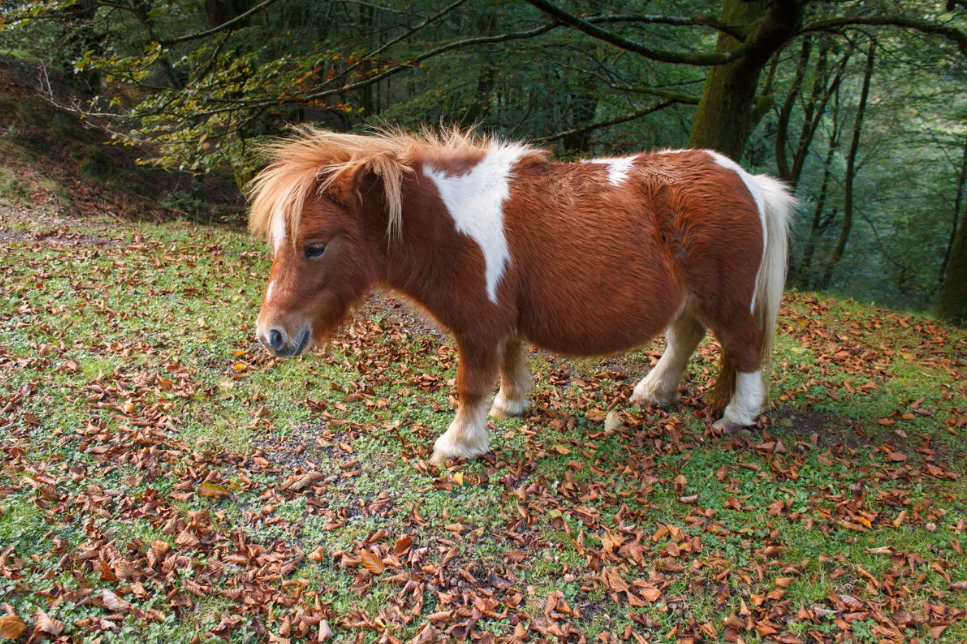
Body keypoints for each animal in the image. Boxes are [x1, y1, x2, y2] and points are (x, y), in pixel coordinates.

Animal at [248, 128, 796, 466]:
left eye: (314, 246)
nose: (270, 335)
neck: (451, 225)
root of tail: (748, 180)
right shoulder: (503, 321)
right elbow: (511, 363)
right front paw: (511, 407)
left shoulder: (479, 324)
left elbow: (471, 385)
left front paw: (458, 445)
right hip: (691, 301)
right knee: (685, 337)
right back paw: (653, 392)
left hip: (728, 302)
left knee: (744, 349)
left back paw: (737, 417)